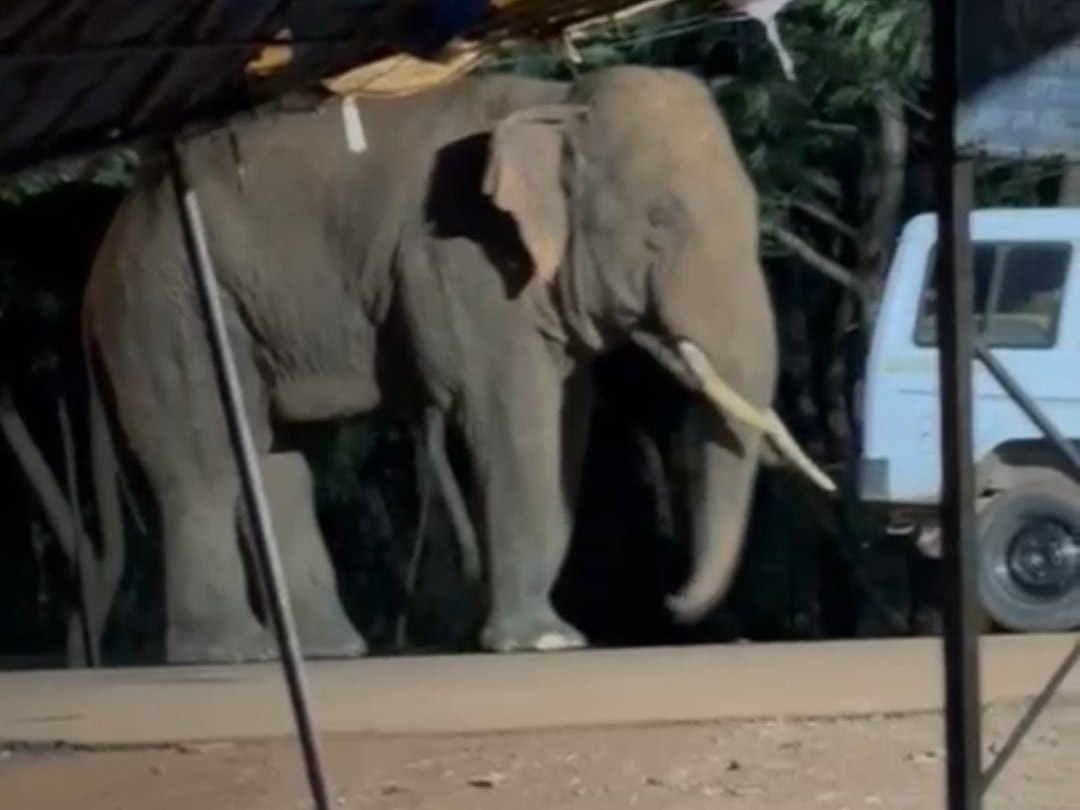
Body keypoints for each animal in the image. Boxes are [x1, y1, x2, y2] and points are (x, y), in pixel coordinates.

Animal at [80, 64, 835, 663]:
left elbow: (566, 424)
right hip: (170, 300)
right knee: (204, 459)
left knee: (279, 456)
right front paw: (545, 641)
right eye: (660, 223)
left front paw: (549, 635)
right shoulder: (463, 256)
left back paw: (330, 650)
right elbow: (516, 415)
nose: (673, 604)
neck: (560, 104)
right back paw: (231, 654)